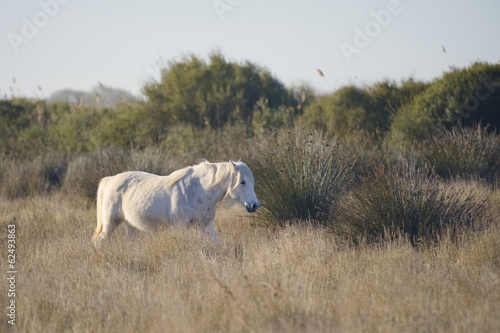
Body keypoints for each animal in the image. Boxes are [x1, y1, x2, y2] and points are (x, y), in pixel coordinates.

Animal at [91, 160, 260, 245]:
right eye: (242, 182)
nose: (254, 205)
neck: (199, 190)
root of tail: (110, 179)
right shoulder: (179, 226)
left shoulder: (206, 225)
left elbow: (217, 243)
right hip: (110, 223)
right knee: (99, 241)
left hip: (131, 226)